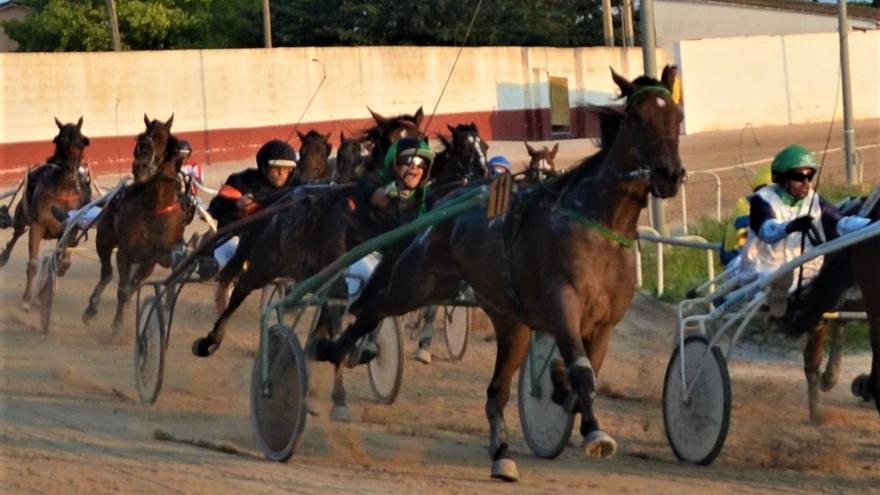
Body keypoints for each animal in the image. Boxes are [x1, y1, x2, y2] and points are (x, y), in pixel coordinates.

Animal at [0, 116, 92, 310]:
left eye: (81, 142)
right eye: (60, 140)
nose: (70, 170)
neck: (63, 190)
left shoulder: (69, 229)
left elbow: (60, 259)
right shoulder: (37, 226)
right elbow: (33, 264)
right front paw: (27, 299)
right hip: (21, 217)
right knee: (16, 235)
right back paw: (4, 257)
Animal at [82, 114, 186, 336]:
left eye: (163, 139)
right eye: (140, 140)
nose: (140, 166)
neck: (154, 210)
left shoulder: (151, 260)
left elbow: (131, 288)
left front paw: (121, 322)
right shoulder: (125, 253)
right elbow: (122, 289)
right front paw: (117, 325)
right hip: (104, 241)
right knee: (107, 273)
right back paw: (91, 309)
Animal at [312, 68, 688, 482]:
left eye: (677, 117)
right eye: (636, 117)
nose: (670, 174)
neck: (600, 222)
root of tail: (444, 205)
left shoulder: (603, 325)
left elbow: (580, 374)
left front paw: (560, 389)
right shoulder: (562, 305)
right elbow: (582, 371)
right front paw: (594, 433)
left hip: (510, 322)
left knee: (496, 392)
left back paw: (503, 454)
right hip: (420, 280)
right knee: (374, 307)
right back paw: (335, 348)